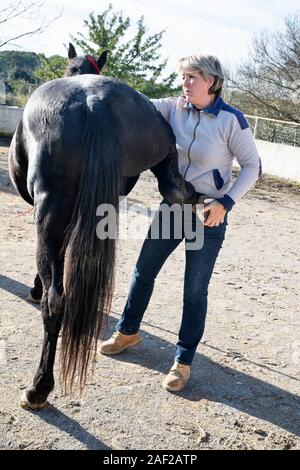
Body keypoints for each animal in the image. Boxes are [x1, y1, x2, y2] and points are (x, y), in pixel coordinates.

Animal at [9, 46, 195, 410]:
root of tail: (94, 104)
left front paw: (35, 289)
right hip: (162, 162)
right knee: (175, 189)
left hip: (50, 214)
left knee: (56, 302)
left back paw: (38, 389)